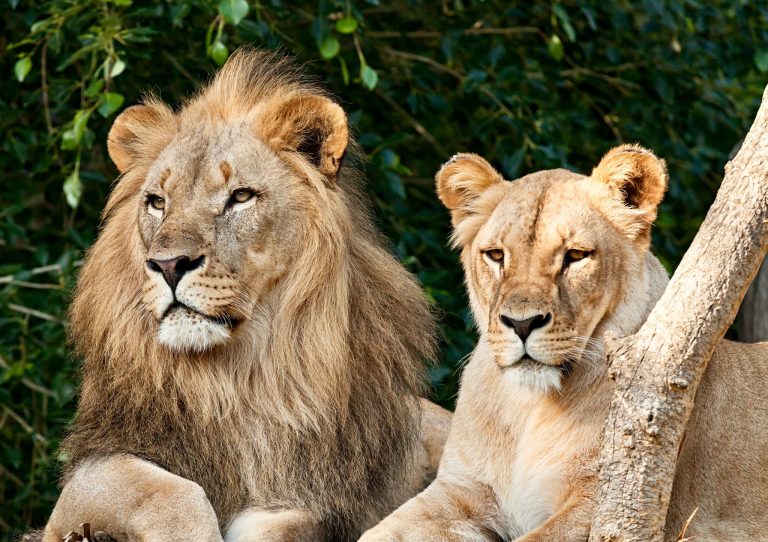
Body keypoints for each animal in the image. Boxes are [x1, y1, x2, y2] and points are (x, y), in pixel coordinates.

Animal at [35, 48, 451, 542]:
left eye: (241, 196)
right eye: (157, 202)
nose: (168, 265)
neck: (236, 380)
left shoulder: (308, 495)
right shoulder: (92, 470)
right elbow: (168, 492)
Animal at [360, 146, 768, 541]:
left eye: (575, 256)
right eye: (496, 255)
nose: (522, 323)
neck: (527, 407)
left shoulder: (613, 505)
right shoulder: (462, 489)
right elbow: (376, 532)